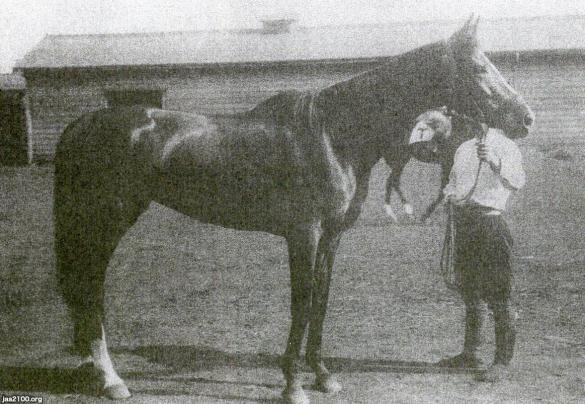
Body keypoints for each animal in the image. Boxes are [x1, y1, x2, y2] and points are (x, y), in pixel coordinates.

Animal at [53, 16, 534, 404]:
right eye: (479, 68)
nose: (525, 118)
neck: (333, 134)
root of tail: (82, 124)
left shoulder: (332, 237)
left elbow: (321, 302)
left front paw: (322, 376)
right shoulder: (303, 233)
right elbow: (301, 304)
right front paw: (292, 385)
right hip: (105, 222)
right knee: (88, 288)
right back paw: (111, 379)